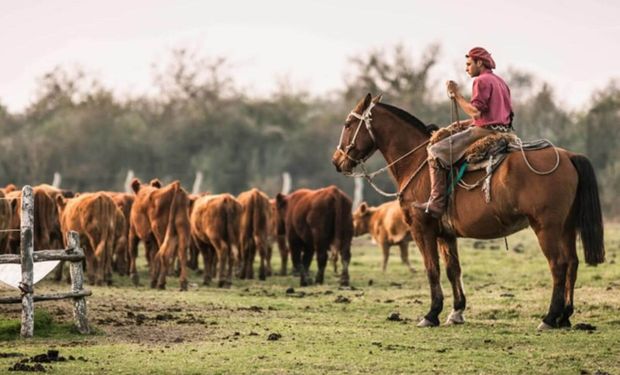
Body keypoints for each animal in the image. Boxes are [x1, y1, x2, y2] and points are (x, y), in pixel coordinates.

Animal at [334, 93, 604, 328]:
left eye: (348, 124)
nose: (337, 161)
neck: (418, 162)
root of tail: (568, 156)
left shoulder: (423, 230)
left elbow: (432, 269)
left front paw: (431, 314)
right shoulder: (446, 234)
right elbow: (453, 270)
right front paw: (456, 311)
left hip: (546, 228)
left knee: (558, 265)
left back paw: (549, 317)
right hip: (566, 227)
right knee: (572, 263)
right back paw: (565, 316)